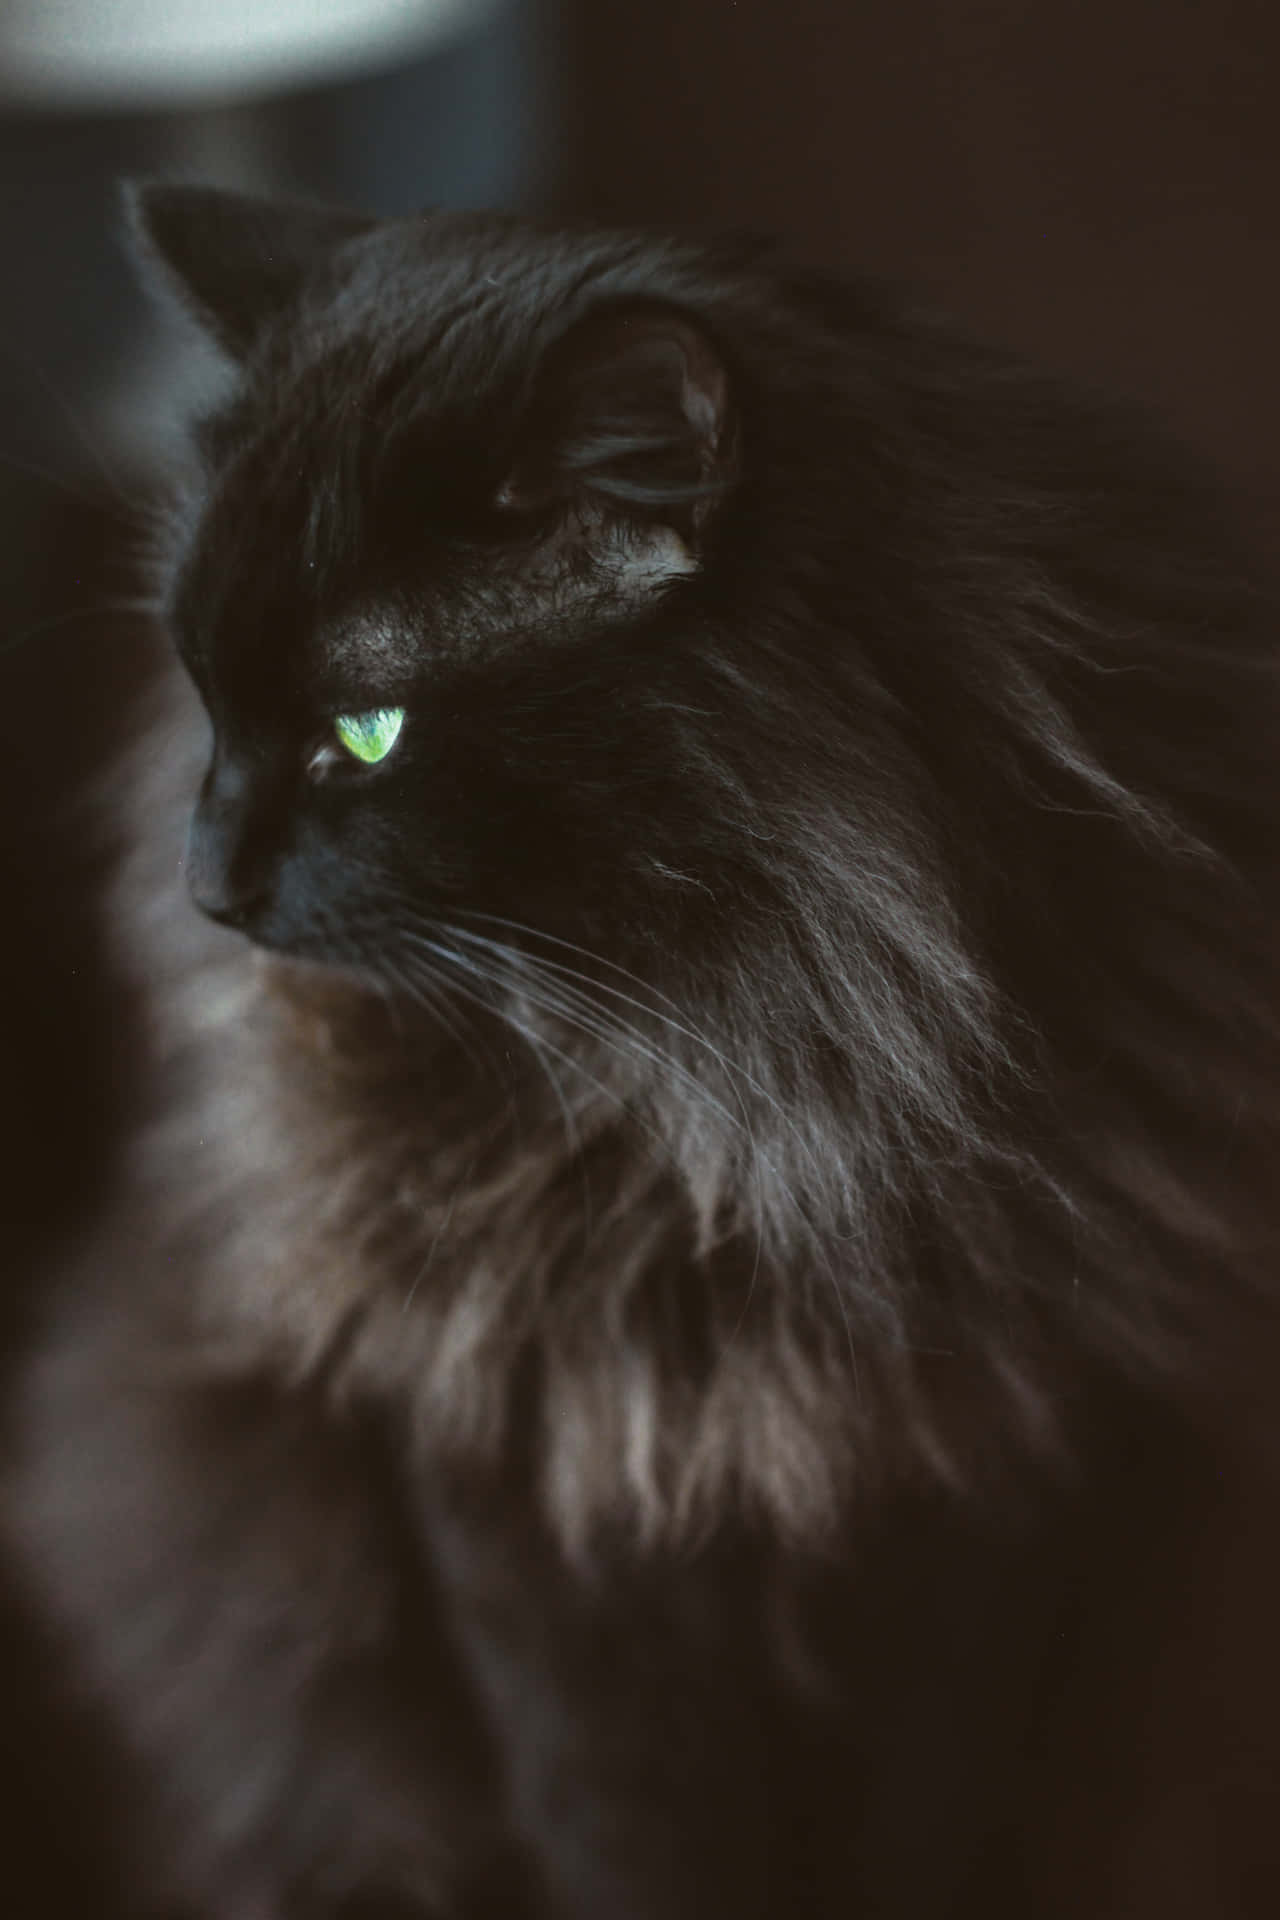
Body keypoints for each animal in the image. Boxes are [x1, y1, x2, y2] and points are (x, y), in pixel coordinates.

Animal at [10, 191, 1280, 1920]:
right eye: (201, 685)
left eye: (365, 732)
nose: (206, 885)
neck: (721, 1099)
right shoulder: (527, 1486)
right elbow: (625, 1835)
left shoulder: (975, 1502)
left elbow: (921, 1830)